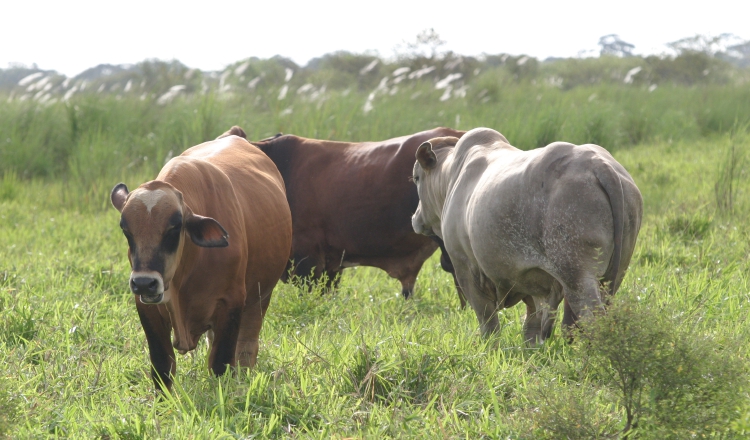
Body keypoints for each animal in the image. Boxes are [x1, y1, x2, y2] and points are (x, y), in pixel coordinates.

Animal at [110, 133, 292, 388]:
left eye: (175, 227)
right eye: (126, 229)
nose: (145, 283)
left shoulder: (232, 303)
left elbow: (221, 364)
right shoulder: (146, 308)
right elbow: (162, 366)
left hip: (260, 296)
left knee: (247, 347)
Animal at [414, 127, 644, 344]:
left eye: (416, 178)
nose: (415, 218)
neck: (451, 178)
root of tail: (599, 164)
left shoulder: (465, 269)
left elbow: (489, 325)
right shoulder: (532, 280)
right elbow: (531, 329)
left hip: (577, 275)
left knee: (592, 322)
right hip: (614, 275)